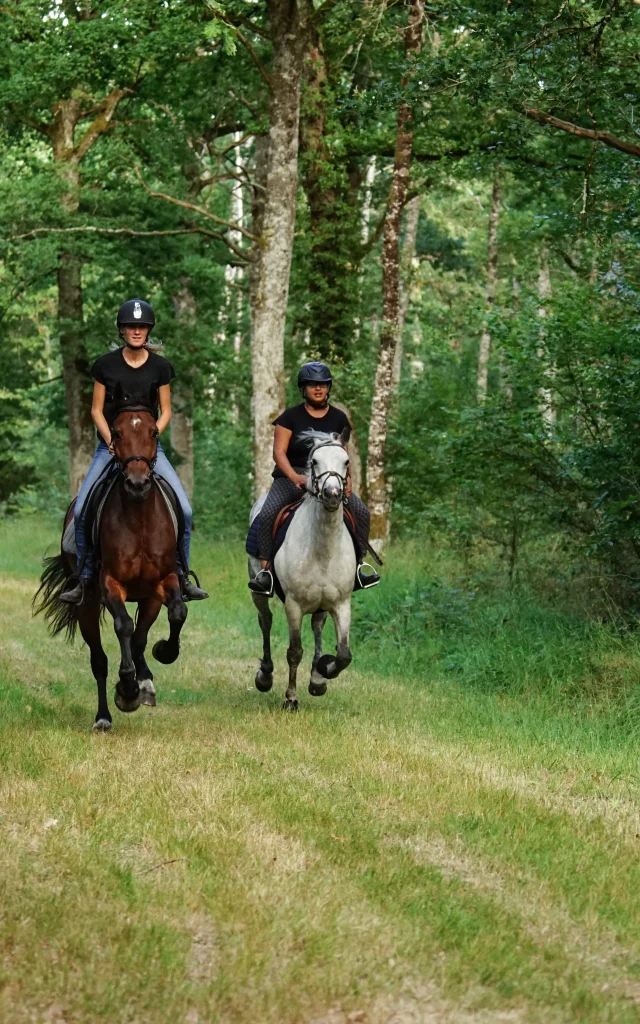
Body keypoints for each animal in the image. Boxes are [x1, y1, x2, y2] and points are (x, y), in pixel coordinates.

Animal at [33, 404, 188, 730]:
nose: (138, 484)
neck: (139, 518)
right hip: (87, 606)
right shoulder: (109, 585)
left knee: (138, 639)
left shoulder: (161, 583)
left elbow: (172, 616)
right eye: (116, 433)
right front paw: (127, 690)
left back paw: (145, 682)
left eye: (154, 432)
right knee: (99, 660)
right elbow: (124, 626)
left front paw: (161, 656)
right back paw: (103, 716)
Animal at [249, 431, 355, 710]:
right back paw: (265, 676)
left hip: (322, 604)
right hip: (258, 590)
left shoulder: (342, 604)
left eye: (346, 462)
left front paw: (323, 671)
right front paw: (291, 699)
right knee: (265, 621)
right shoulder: (294, 605)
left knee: (317, 625)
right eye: (315, 461)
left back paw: (317, 678)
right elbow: (294, 652)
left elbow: (344, 655)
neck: (322, 549)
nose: (332, 493)